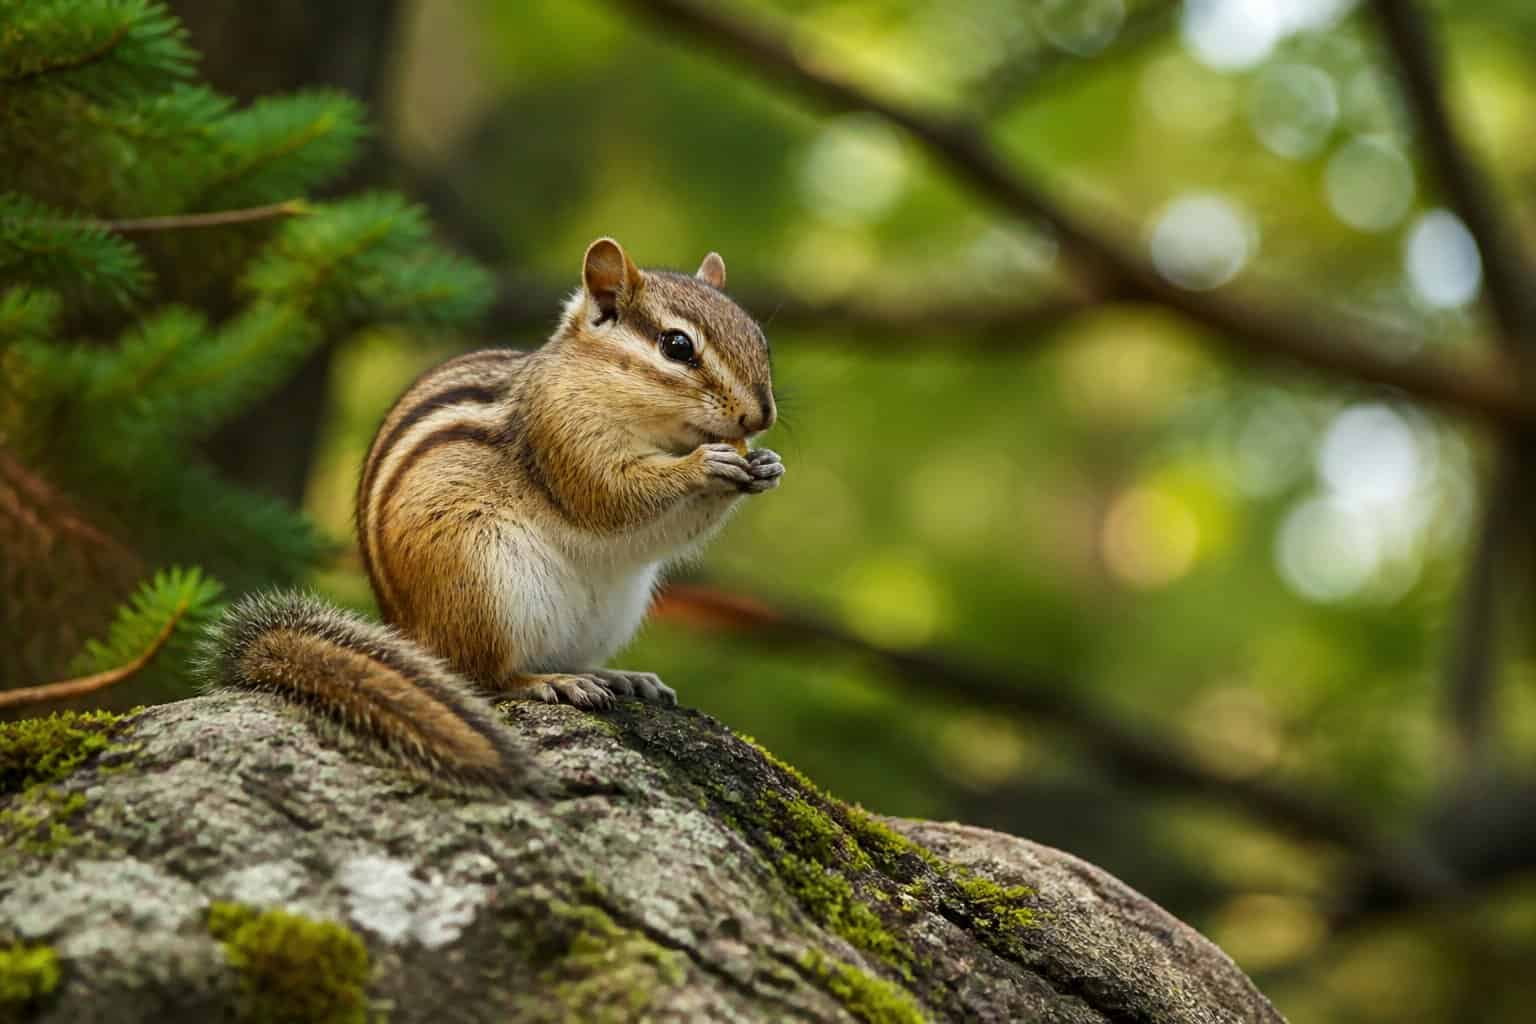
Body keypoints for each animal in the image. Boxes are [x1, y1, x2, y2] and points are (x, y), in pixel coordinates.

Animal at [203, 238, 782, 792]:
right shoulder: (561, 437)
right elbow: (608, 496)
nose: (761, 416)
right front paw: (704, 464)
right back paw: (550, 682)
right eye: (677, 346)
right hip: (486, 578)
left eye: (761, 339)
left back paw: (618, 677)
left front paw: (765, 465)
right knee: (485, 678)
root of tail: (411, 636)